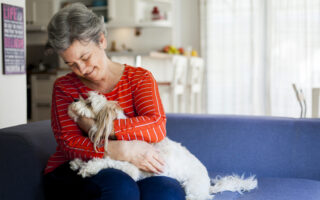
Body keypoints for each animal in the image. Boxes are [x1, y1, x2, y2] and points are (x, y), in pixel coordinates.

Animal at [68, 91, 258, 199]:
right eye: (84, 97)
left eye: (89, 103)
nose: (75, 98)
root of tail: (207, 186)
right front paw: (78, 162)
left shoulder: (132, 168)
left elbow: (108, 161)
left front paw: (89, 167)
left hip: (192, 188)